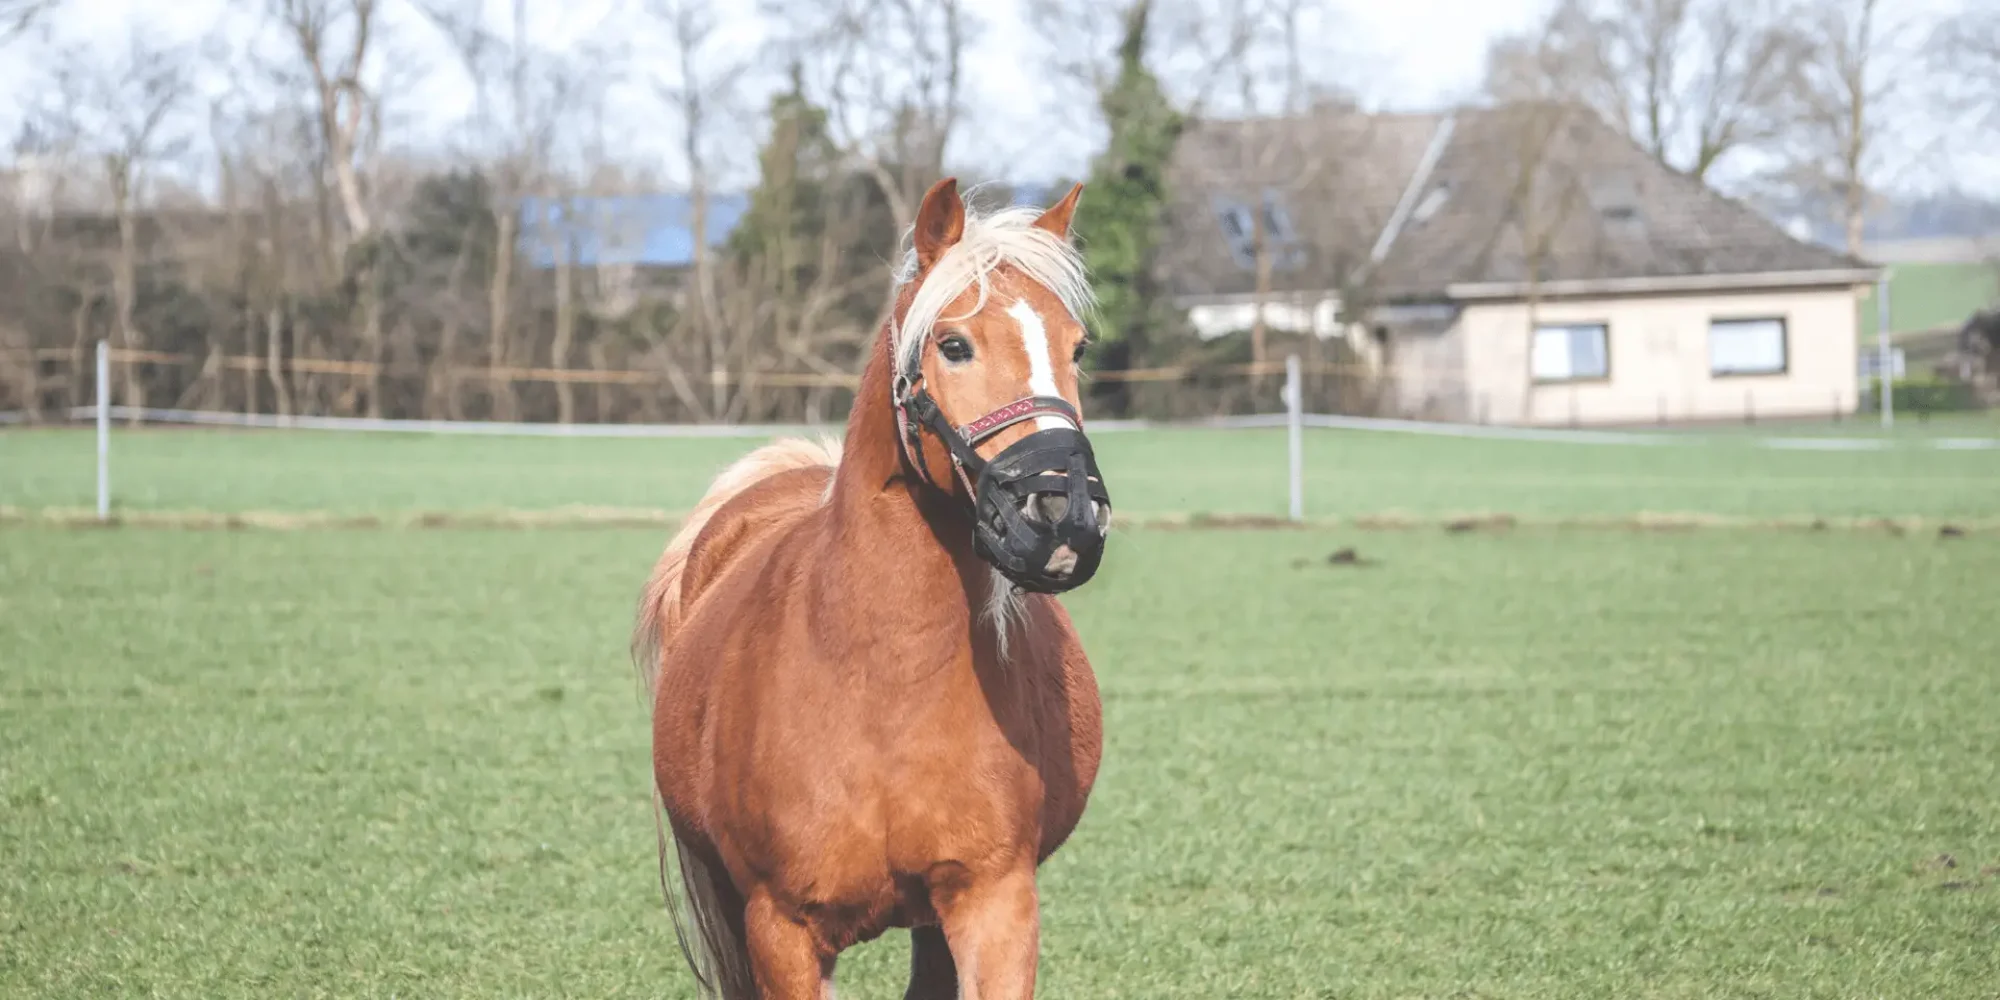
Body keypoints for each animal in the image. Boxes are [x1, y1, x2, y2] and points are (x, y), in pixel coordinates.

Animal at [632, 176, 1120, 996]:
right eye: (954, 345)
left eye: (1075, 346)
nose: (1065, 512)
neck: (884, 677)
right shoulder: (782, 930)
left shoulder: (995, 904)